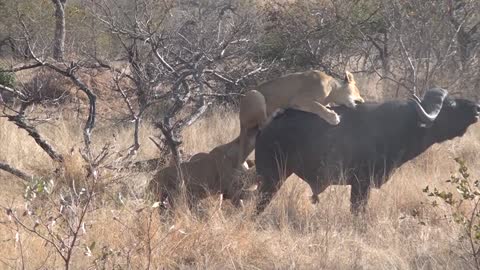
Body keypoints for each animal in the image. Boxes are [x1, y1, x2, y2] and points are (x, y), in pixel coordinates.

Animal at [238, 69, 366, 167]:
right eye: (358, 92)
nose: (363, 101)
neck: (332, 90)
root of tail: (240, 119)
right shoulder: (299, 99)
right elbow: (317, 106)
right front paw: (333, 117)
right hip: (255, 95)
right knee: (262, 124)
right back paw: (277, 112)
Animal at [253, 87, 478, 214]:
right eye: (451, 104)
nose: (476, 107)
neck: (404, 124)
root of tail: (266, 126)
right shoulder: (361, 184)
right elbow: (358, 211)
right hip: (273, 178)